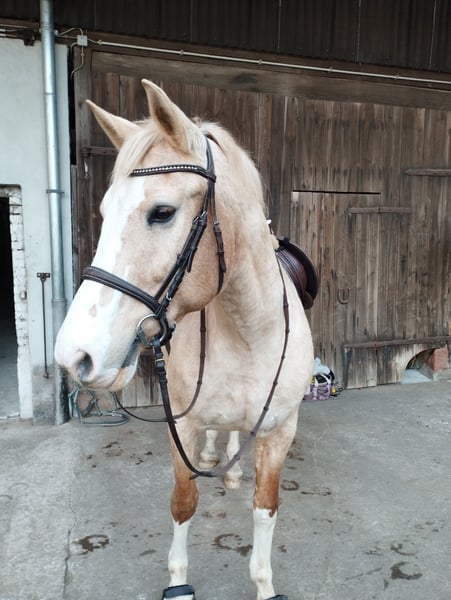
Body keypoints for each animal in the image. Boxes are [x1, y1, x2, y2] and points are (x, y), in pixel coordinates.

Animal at [55, 80, 314, 600]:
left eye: (162, 212)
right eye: (104, 211)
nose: (75, 356)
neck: (248, 330)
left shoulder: (280, 431)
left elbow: (265, 508)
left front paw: (264, 583)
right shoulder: (183, 424)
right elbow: (183, 502)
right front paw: (178, 583)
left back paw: (231, 468)